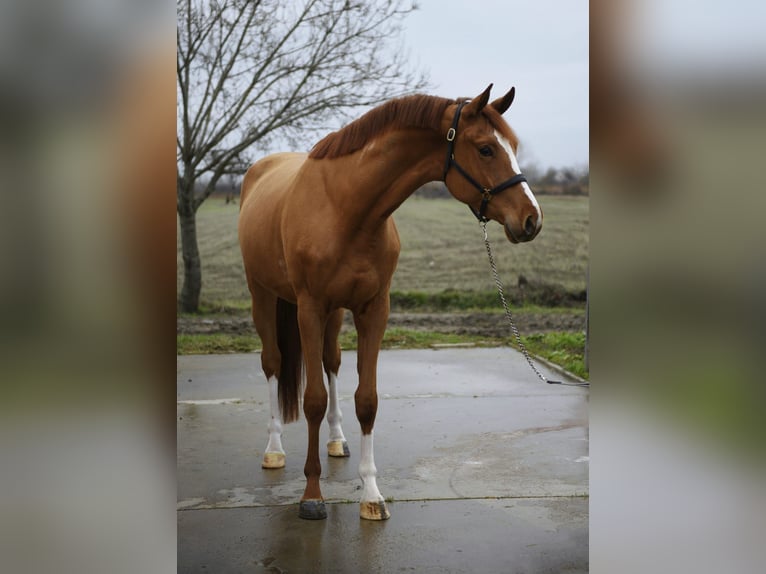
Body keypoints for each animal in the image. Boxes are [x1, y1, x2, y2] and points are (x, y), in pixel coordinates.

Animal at [238, 84, 542, 521]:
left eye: (513, 146)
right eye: (486, 149)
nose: (532, 219)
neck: (346, 208)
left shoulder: (373, 310)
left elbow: (366, 401)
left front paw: (371, 495)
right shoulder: (309, 308)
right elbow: (312, 400)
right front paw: (312, 496)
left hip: (334, 314)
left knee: (331, 362)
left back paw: (336, 441)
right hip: (263, 295)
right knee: (274, 363)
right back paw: (274, 450)